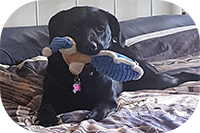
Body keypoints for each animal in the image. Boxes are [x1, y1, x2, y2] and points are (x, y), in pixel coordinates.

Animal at [38, 6, 200, 127]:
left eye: (100, 28)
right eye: (74, 27)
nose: (90, 46)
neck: (81, 74)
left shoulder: (109, 100)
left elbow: (103, 106)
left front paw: (93, 114)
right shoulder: (48, 97)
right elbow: (45, 106)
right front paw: (47, 118)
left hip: (156, 80)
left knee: (179, 76)